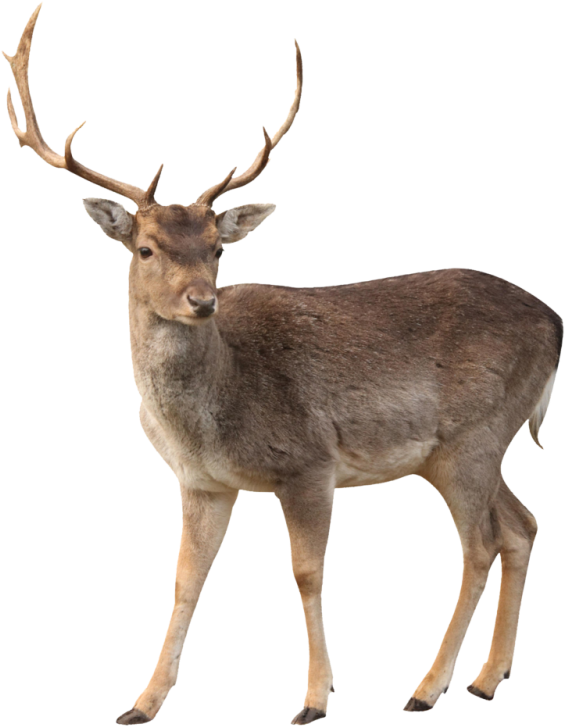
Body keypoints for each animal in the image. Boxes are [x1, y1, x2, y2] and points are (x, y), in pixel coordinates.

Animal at [4, 3, 562, 724]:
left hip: (474, 436)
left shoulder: (308, 464)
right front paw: (142, 703)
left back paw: (427, 688)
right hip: (465, 451)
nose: (202, 300)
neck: (211, 415)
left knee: (481, 544)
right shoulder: (201, 482)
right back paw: (485, 680)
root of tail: (556, 324)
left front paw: (314, 700)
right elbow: (185, 578)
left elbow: (306, 572)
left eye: (217, 247)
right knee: (521, 526)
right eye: (146, 248)